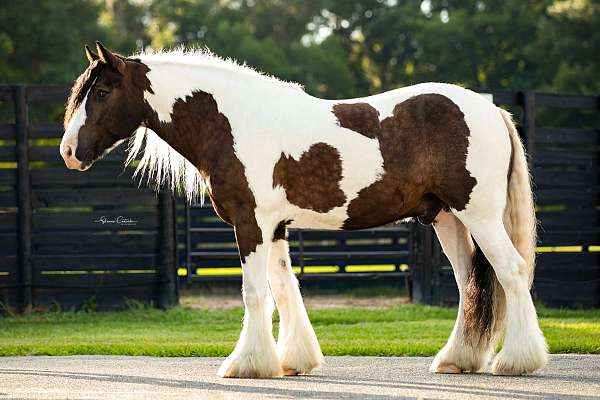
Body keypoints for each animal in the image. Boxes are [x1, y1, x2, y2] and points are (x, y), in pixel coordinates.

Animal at [61, 41, 548, 378]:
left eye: (101, 91)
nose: (68, 152)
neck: (234, 122)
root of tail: (490, 110)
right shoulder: (274, 227)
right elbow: (283, 289)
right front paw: (292, 361)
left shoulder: (250, 224)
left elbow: (255, 293)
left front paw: (246, 364)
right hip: (447, 219)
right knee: (471, 286)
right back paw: (457, 360)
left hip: (479, 215)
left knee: (510, 272)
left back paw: (517, 361)